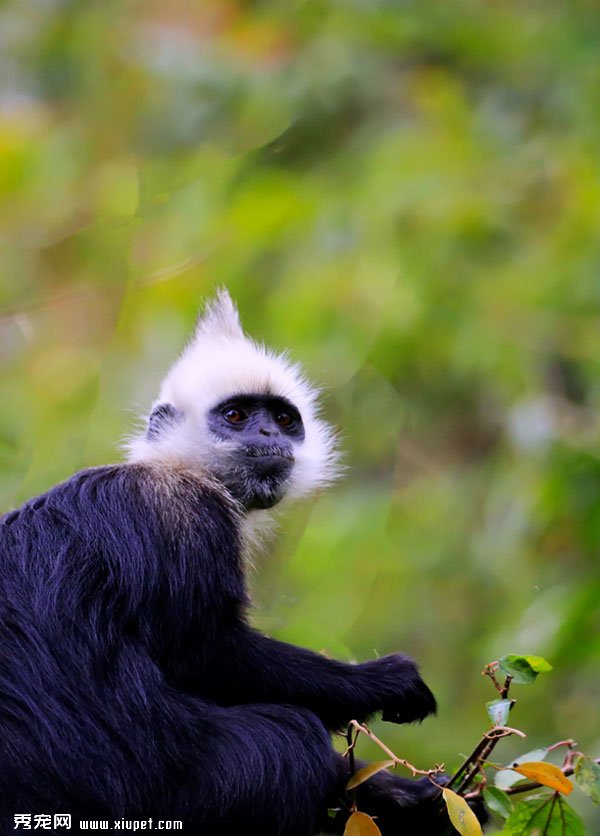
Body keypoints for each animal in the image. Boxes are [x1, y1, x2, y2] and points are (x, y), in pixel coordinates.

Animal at [0, 290, 452, 836]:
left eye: (283, 420)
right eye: (236, 415)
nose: (268, 433)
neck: (176, 468)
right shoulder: (188, 514)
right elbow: (204, 654)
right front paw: (385, 683)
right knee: (290, 739)